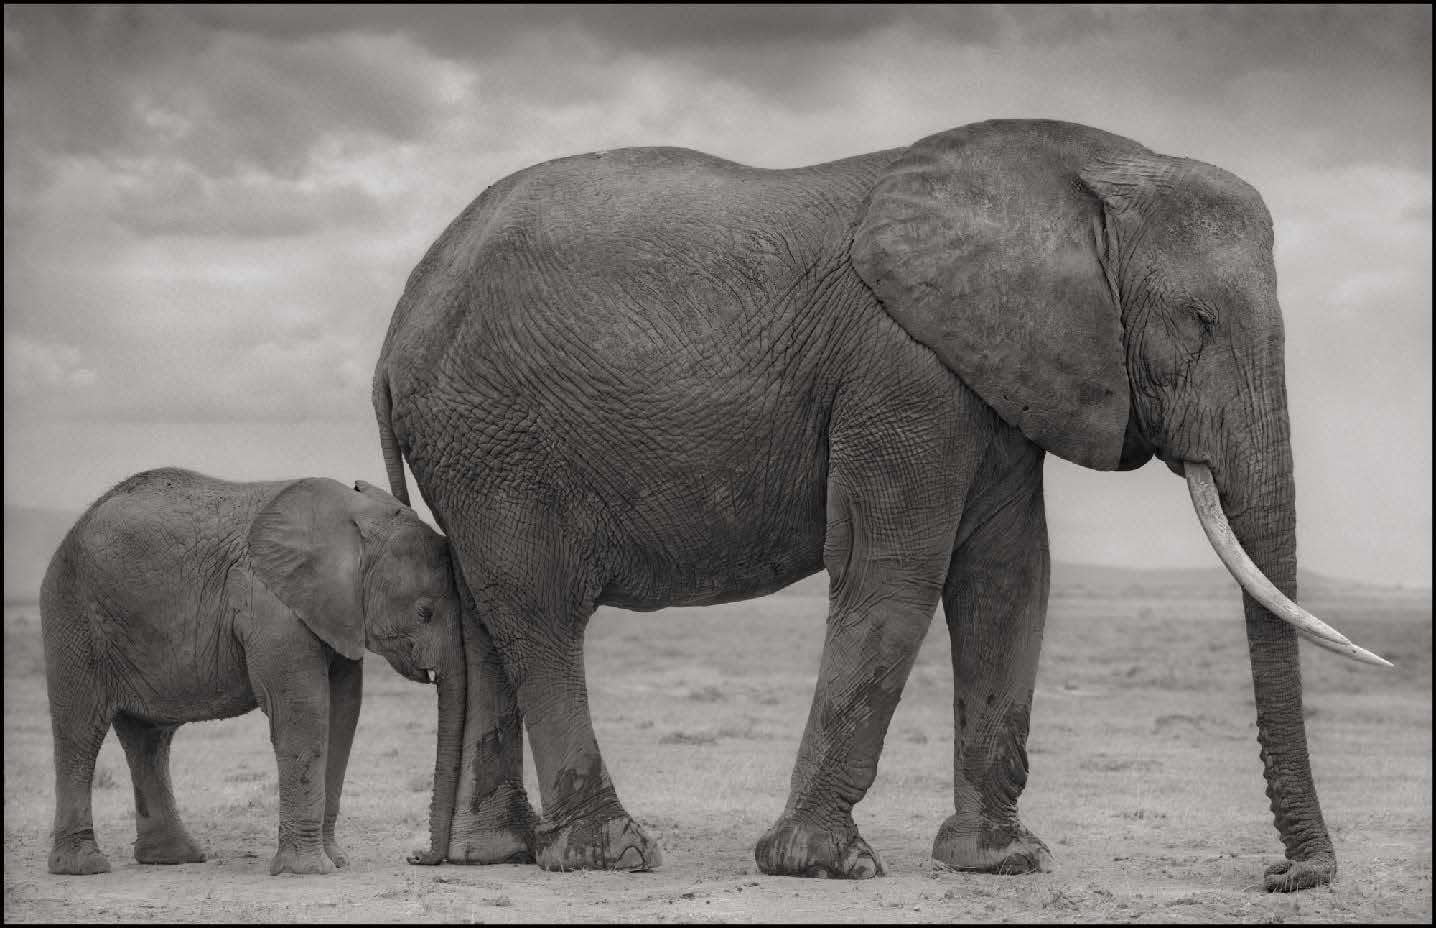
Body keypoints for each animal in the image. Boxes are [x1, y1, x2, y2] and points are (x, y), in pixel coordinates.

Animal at [41, 467, 466, 876]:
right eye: (424, 612)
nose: (416, 856)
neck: (355, 518)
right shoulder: (270, 605)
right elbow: (303, 715)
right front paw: (308, 871)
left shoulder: (337, 614)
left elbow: (342, 717)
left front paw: (335, 861)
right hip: (72, 613)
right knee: (80, 731)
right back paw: (84, 867)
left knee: (149, 738)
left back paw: (173, 858)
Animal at [370, 119, 1388, 890]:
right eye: (1199, 322)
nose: (1286, 877)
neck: (1085, 169)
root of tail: (395, 327)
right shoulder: (902, 374)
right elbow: (894, 575)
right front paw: (823, 867)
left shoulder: (990, 378)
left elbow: (1009, 583)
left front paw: (1002, 864)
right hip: (494, 440)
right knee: (538, 615)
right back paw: (612, 854)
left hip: (473, 447)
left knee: (483, 619)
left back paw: (497, 854)